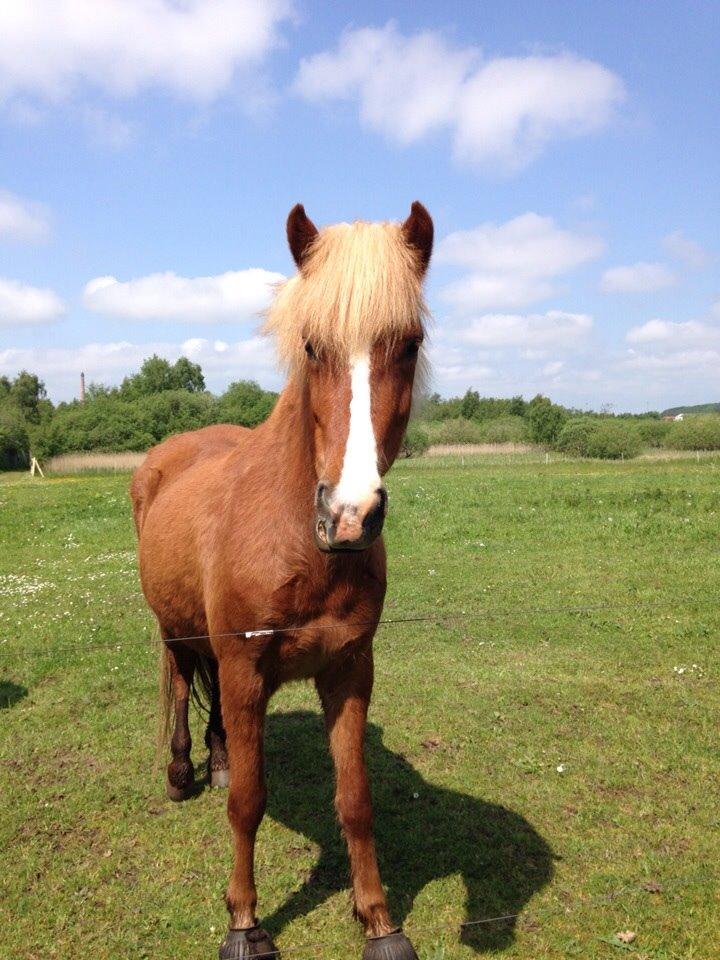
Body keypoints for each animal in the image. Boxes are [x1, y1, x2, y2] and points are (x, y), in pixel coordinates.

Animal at [129, 202, 434, 960]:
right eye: (312, 346)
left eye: (409, 343)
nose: (350, 516)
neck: (301, 545)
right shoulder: (246, 669)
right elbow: (249, 805)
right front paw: (243, 922)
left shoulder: (350, 669)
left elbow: (355, 800)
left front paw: (379, 920)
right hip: (173, 628)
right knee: (183, 681)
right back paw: (182, 772)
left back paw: (219, 759)